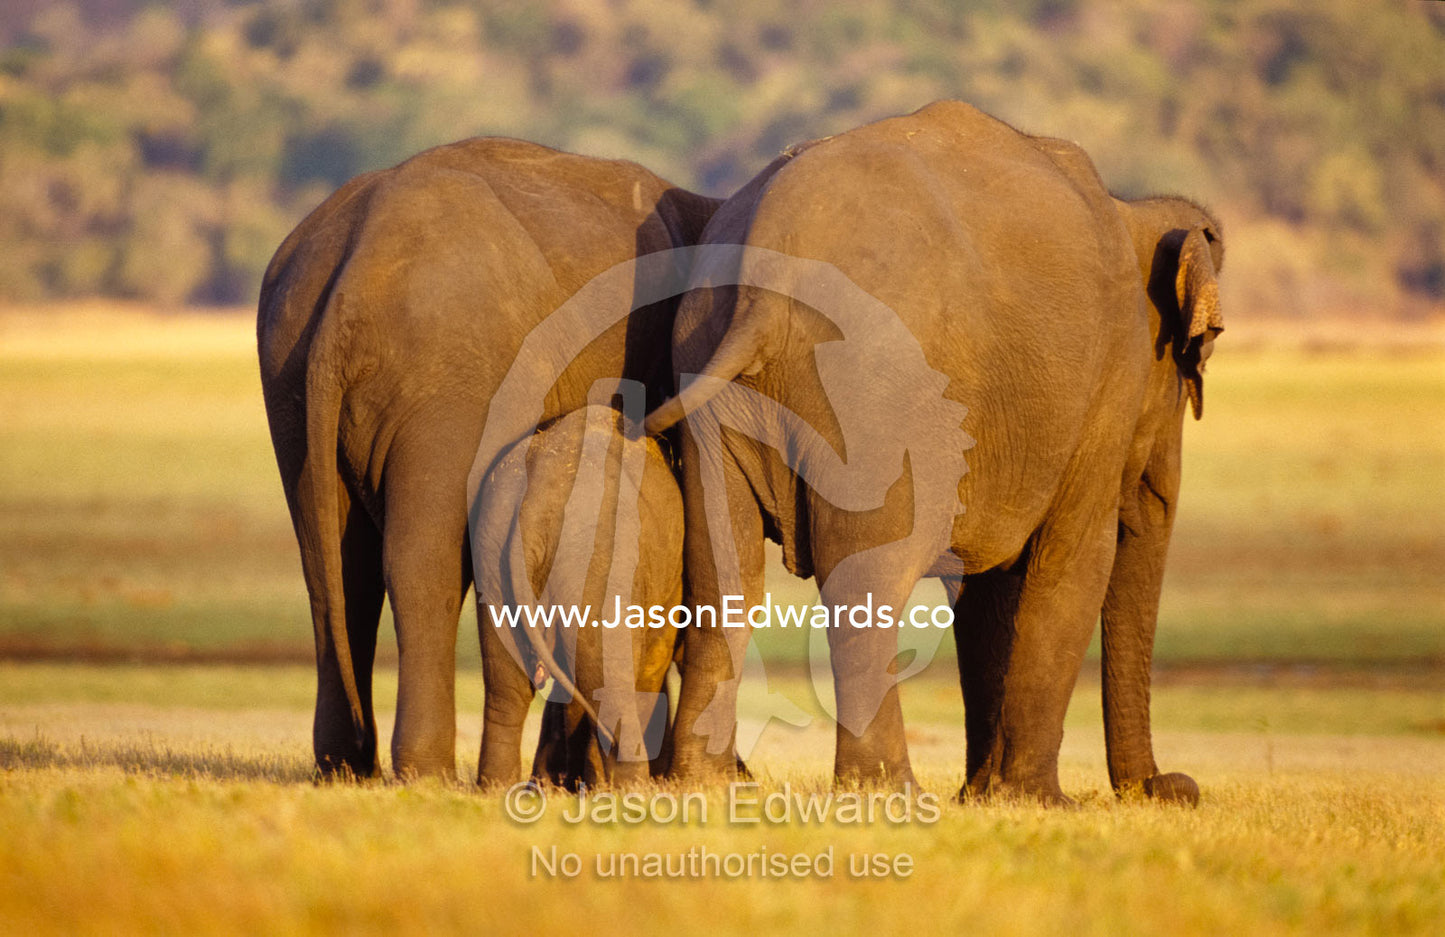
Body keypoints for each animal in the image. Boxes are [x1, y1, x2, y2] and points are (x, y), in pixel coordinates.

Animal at [472, 400, 683, 789]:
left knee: (507, 687)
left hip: (491, 553)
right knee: (608, 687)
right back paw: (633, 788)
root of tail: (534, 502)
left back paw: (497, 787)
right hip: (596, 560)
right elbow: (649, 662)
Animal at [644, 100, 1222, 804]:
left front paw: (985, 796)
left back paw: (701, 786)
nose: (1174, 786)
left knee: (723, 568)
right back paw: (888, 789)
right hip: (876, 399)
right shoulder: (1103, 393)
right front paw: (1040, 801)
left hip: (709, 371)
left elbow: (989, 592)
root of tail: (766, 278)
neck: (1129, 212)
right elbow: (1073, 562)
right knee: (867, 576)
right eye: (1188, 374)